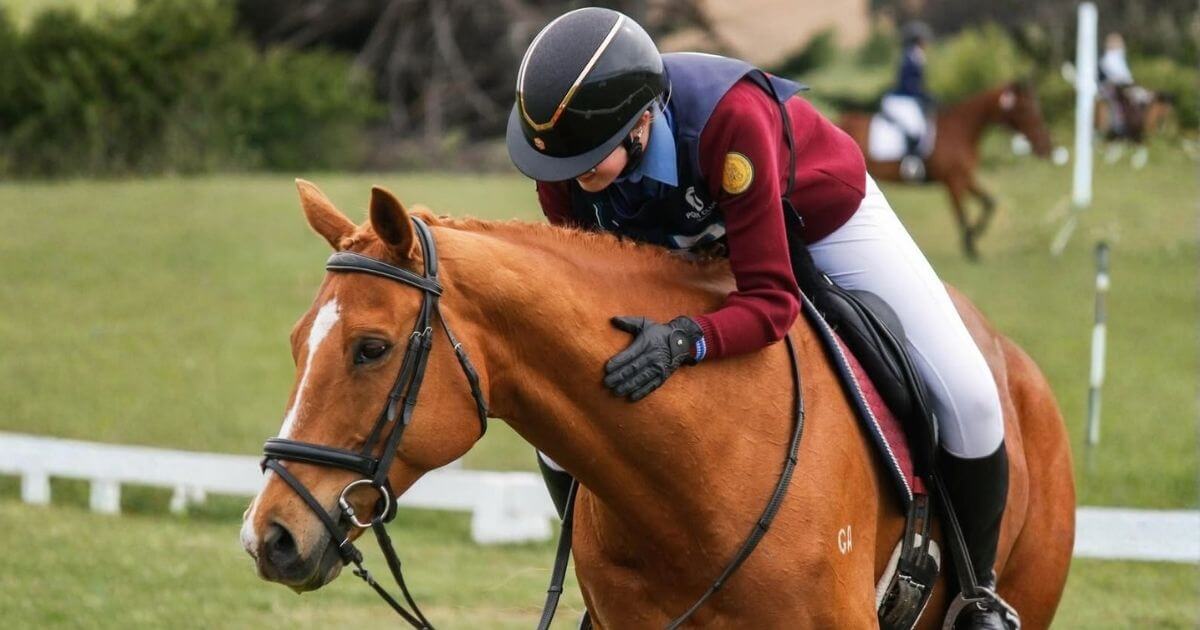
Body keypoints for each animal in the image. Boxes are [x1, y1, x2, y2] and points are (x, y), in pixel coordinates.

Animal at [838, 82, 1053, 260]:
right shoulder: (954, 181)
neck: (962, 129)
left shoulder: (965, 177)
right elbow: (961, 213)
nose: (1046, 146)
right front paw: (970, 247)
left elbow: (988, 203)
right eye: (1025, 108)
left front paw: (973, 239)